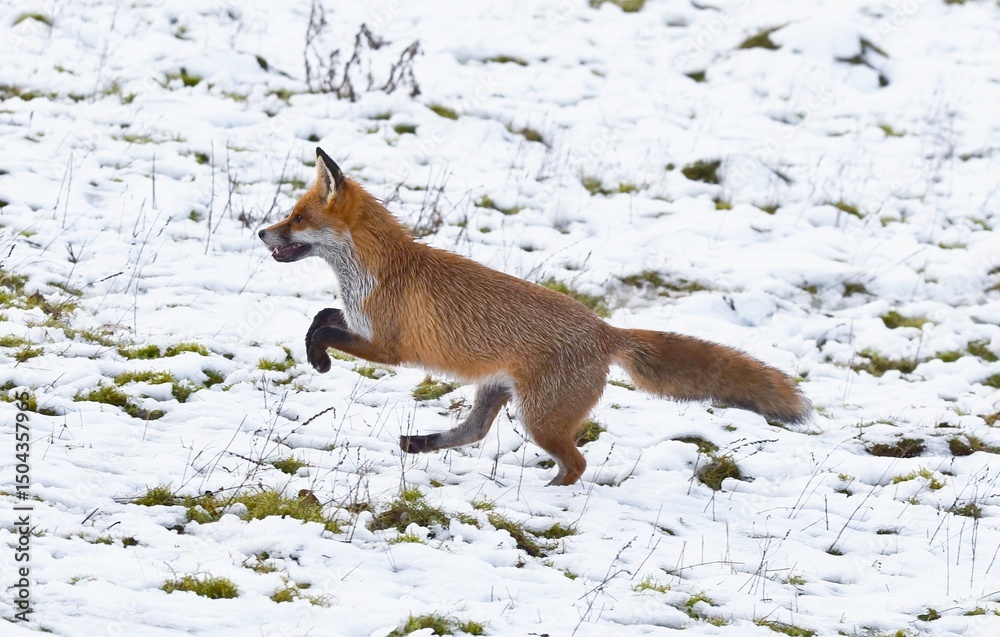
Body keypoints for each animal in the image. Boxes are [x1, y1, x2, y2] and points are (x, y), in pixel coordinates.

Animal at [258, 147, 811, 486]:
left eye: (298, 218)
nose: (261, 233)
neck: (379, 272)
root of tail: (606, 329)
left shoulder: (388, 348)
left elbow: (327, 329)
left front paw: (319, 360)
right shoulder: (360, 322)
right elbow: (321, 316)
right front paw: (313, 350)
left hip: (540, 419)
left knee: (577, 462)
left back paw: (547, 491)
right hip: (499, 394)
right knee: (473, 433)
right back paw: (419, 443)